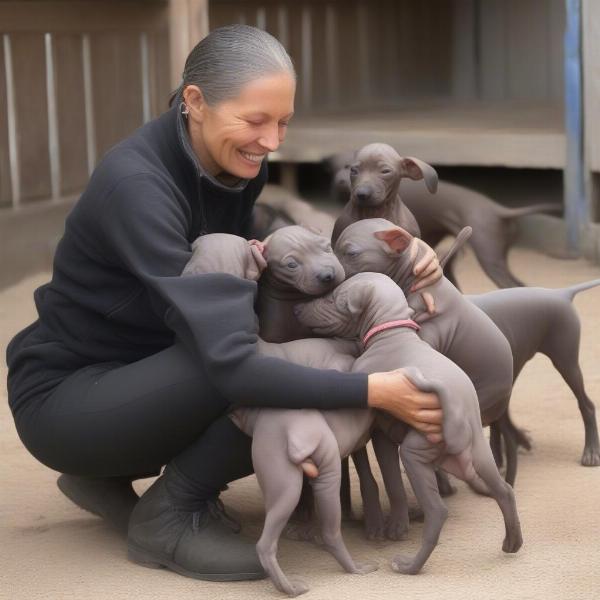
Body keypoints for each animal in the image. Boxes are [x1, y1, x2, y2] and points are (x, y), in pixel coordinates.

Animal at [298, 274, 524, 576]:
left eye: (333, 299)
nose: (298, 308)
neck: (392, 332)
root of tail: (461, 414)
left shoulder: (379, 428)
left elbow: (391, 477)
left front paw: (396, 527)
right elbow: (391, 479)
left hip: (416, 451)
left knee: (438, 511)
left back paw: (409, 565)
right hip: (479, 456)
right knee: (505, 491)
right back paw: (512, 542)